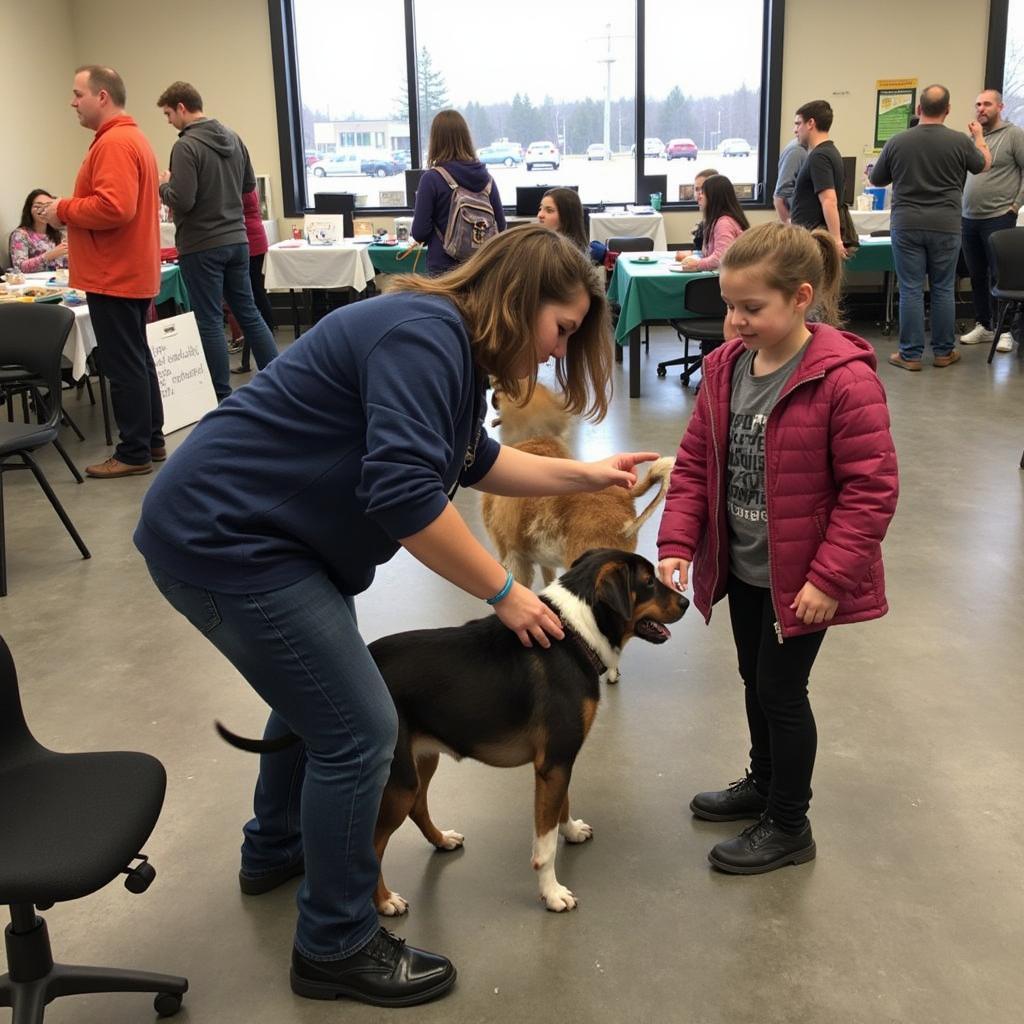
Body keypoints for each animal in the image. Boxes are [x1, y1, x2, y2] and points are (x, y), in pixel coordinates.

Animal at [217, 548, 684, 917]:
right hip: (398, 778)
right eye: (648, 583)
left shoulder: (559, 761)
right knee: (372, 844)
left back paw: (441, 840)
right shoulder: (554, 761)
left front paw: (570, 831)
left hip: (423, 759)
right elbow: (544, 844)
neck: (574, 632)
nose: (684, 599)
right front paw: (552, 893)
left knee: (419, 808)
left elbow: (561, 810)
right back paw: (385, 902)